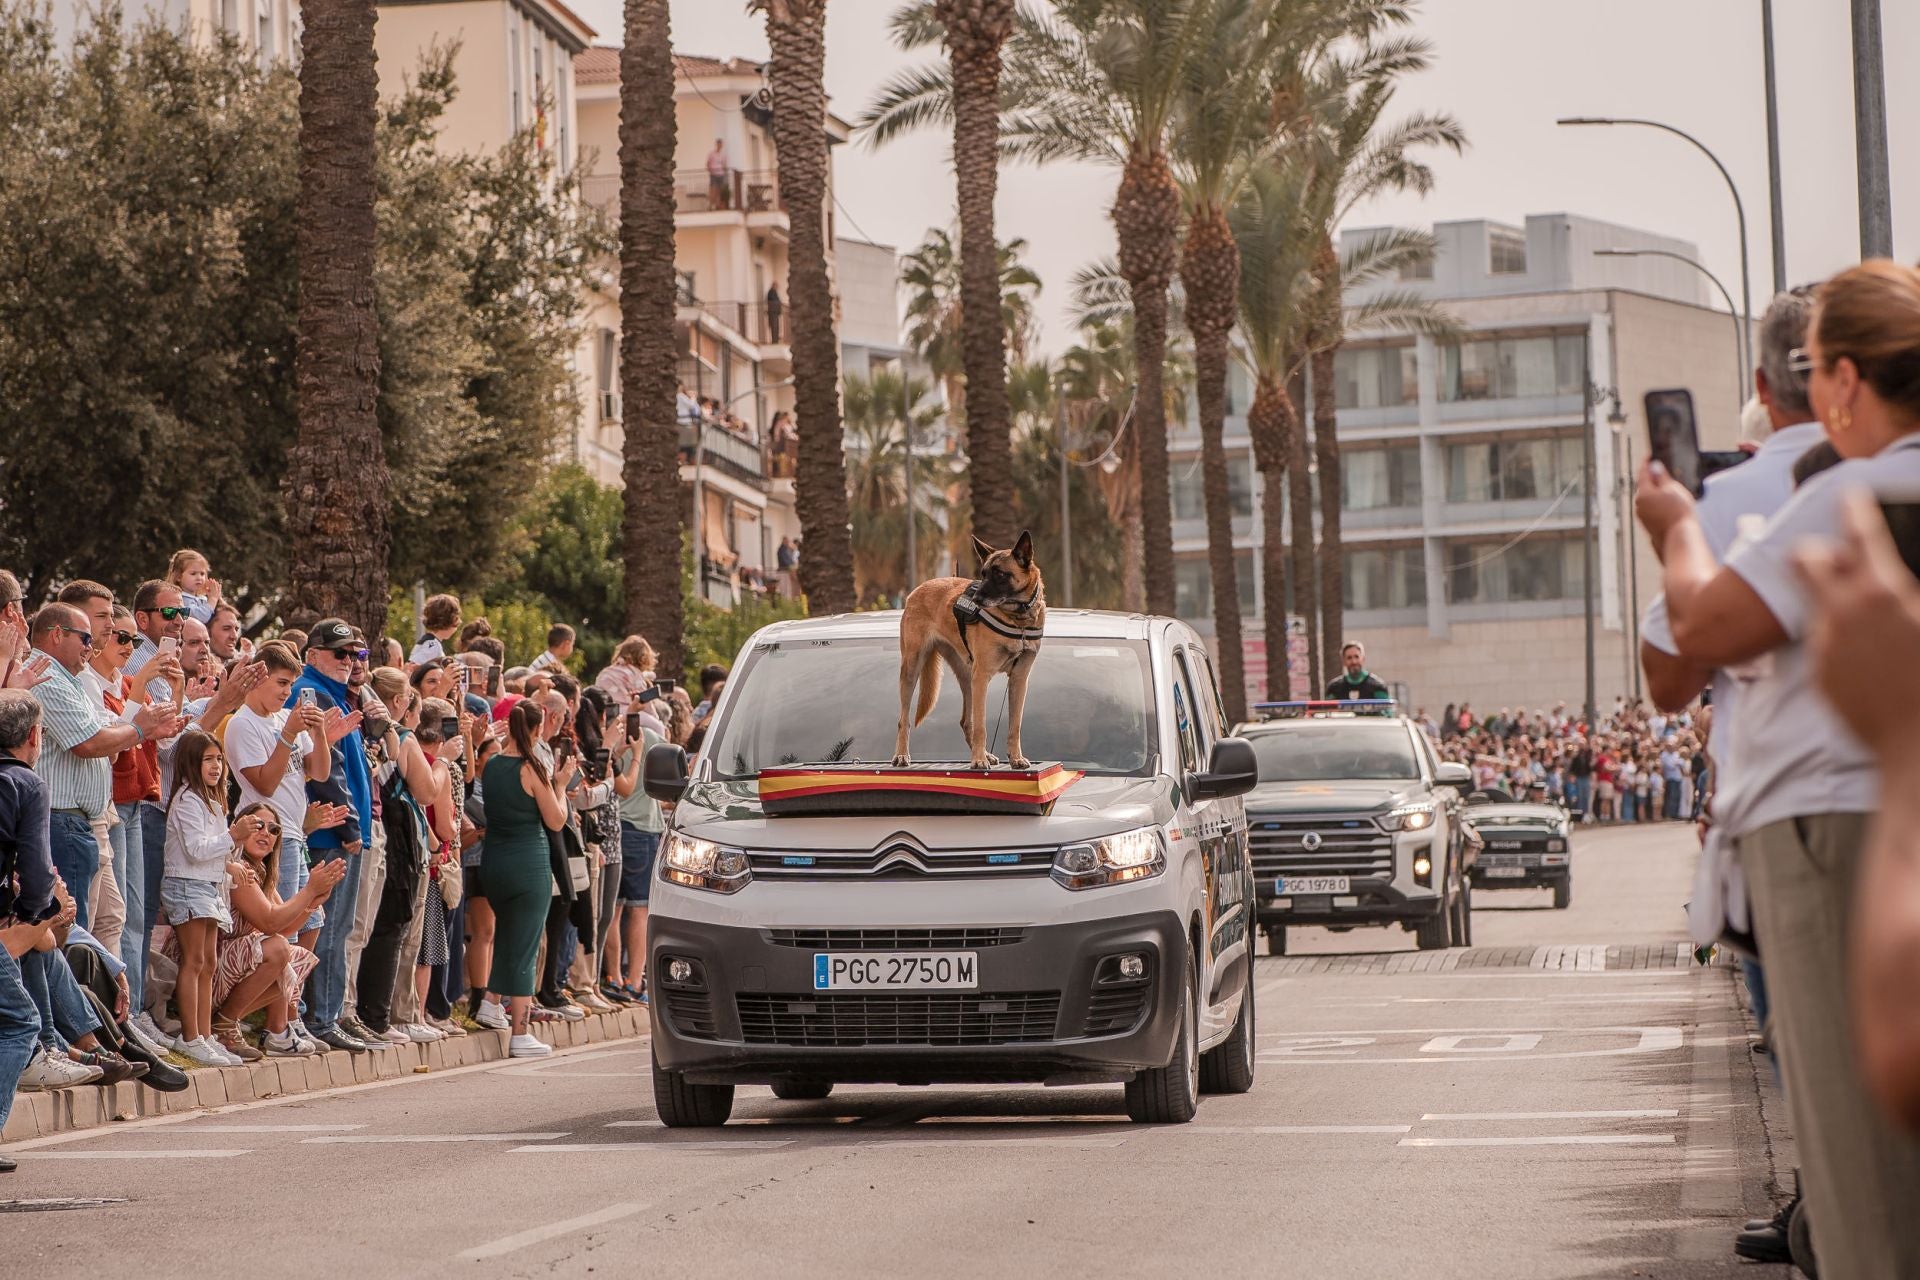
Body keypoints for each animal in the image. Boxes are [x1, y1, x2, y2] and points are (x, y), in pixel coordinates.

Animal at [887, 529, 1044, 771]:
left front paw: (1015, 758)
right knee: (903, 719)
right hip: (913, 670)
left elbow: (1014, 725)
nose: (976, 599)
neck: (1019, 620)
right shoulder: (983, 676)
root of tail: (918, 589)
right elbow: (981, 725)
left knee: (965, 721)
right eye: (983, 574)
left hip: (968, 678)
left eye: (1000, 574)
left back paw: (985, 754)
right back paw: (902, 755)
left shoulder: (1019, 680)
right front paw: (978, 760)